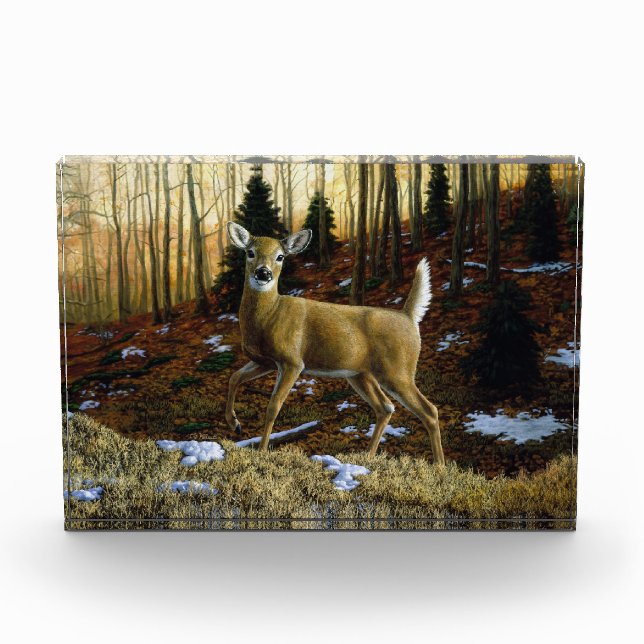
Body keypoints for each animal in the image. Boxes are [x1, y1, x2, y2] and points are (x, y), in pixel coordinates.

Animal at [224, 221, 445, 465]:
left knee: (430, 410)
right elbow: (234, 378)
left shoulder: (292, 361)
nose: (263, 273)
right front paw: (235, 424)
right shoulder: (265, 361)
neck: (269, 315)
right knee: (385, 407)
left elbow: (273, 405)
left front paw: (262, 450)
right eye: (250, 252)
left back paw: (439, 466)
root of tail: (409, 316)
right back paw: (367, 457)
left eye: (280, 256)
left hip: (397, 370)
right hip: (360, 374)